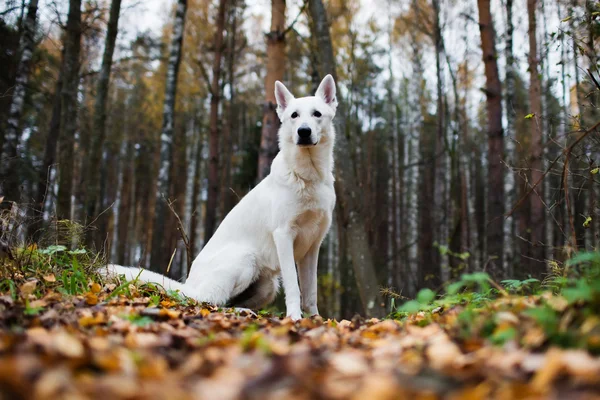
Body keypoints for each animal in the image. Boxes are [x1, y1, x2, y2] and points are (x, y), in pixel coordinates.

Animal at [106, 73, 338, 320]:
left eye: (317, 114)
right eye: (294, 115)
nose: (303, 131)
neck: (307, 177)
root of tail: (189, 286)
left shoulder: (312, 248)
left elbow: (310, 291)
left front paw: (315, 319)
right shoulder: (284, 236)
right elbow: (294, 287)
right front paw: (294, 317)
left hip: (268, 285)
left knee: (225, 301)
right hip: (245, 259)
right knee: (211, 301)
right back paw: (242, 311)